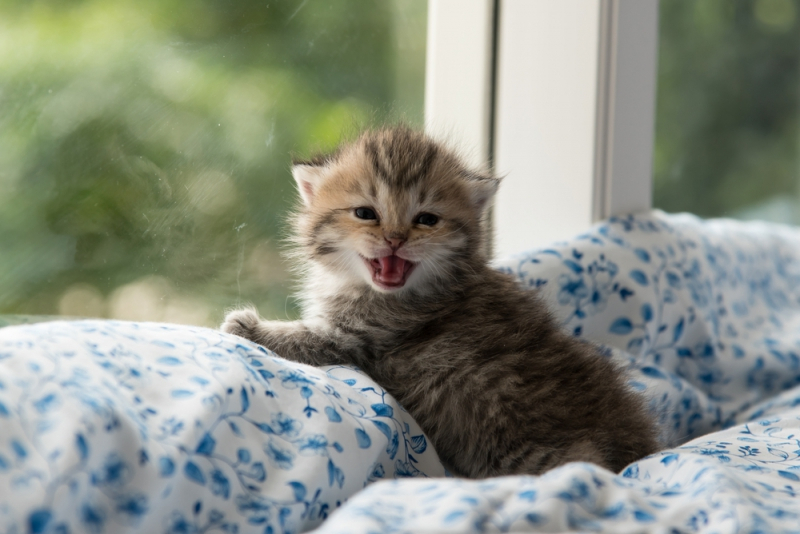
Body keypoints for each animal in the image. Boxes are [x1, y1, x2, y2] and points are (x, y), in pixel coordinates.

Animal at [222, 127, 660, 480]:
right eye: (365, 213)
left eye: (426, 219)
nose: (395, 238)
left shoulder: (357, 338)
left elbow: (303, 337)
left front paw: (244, 326)